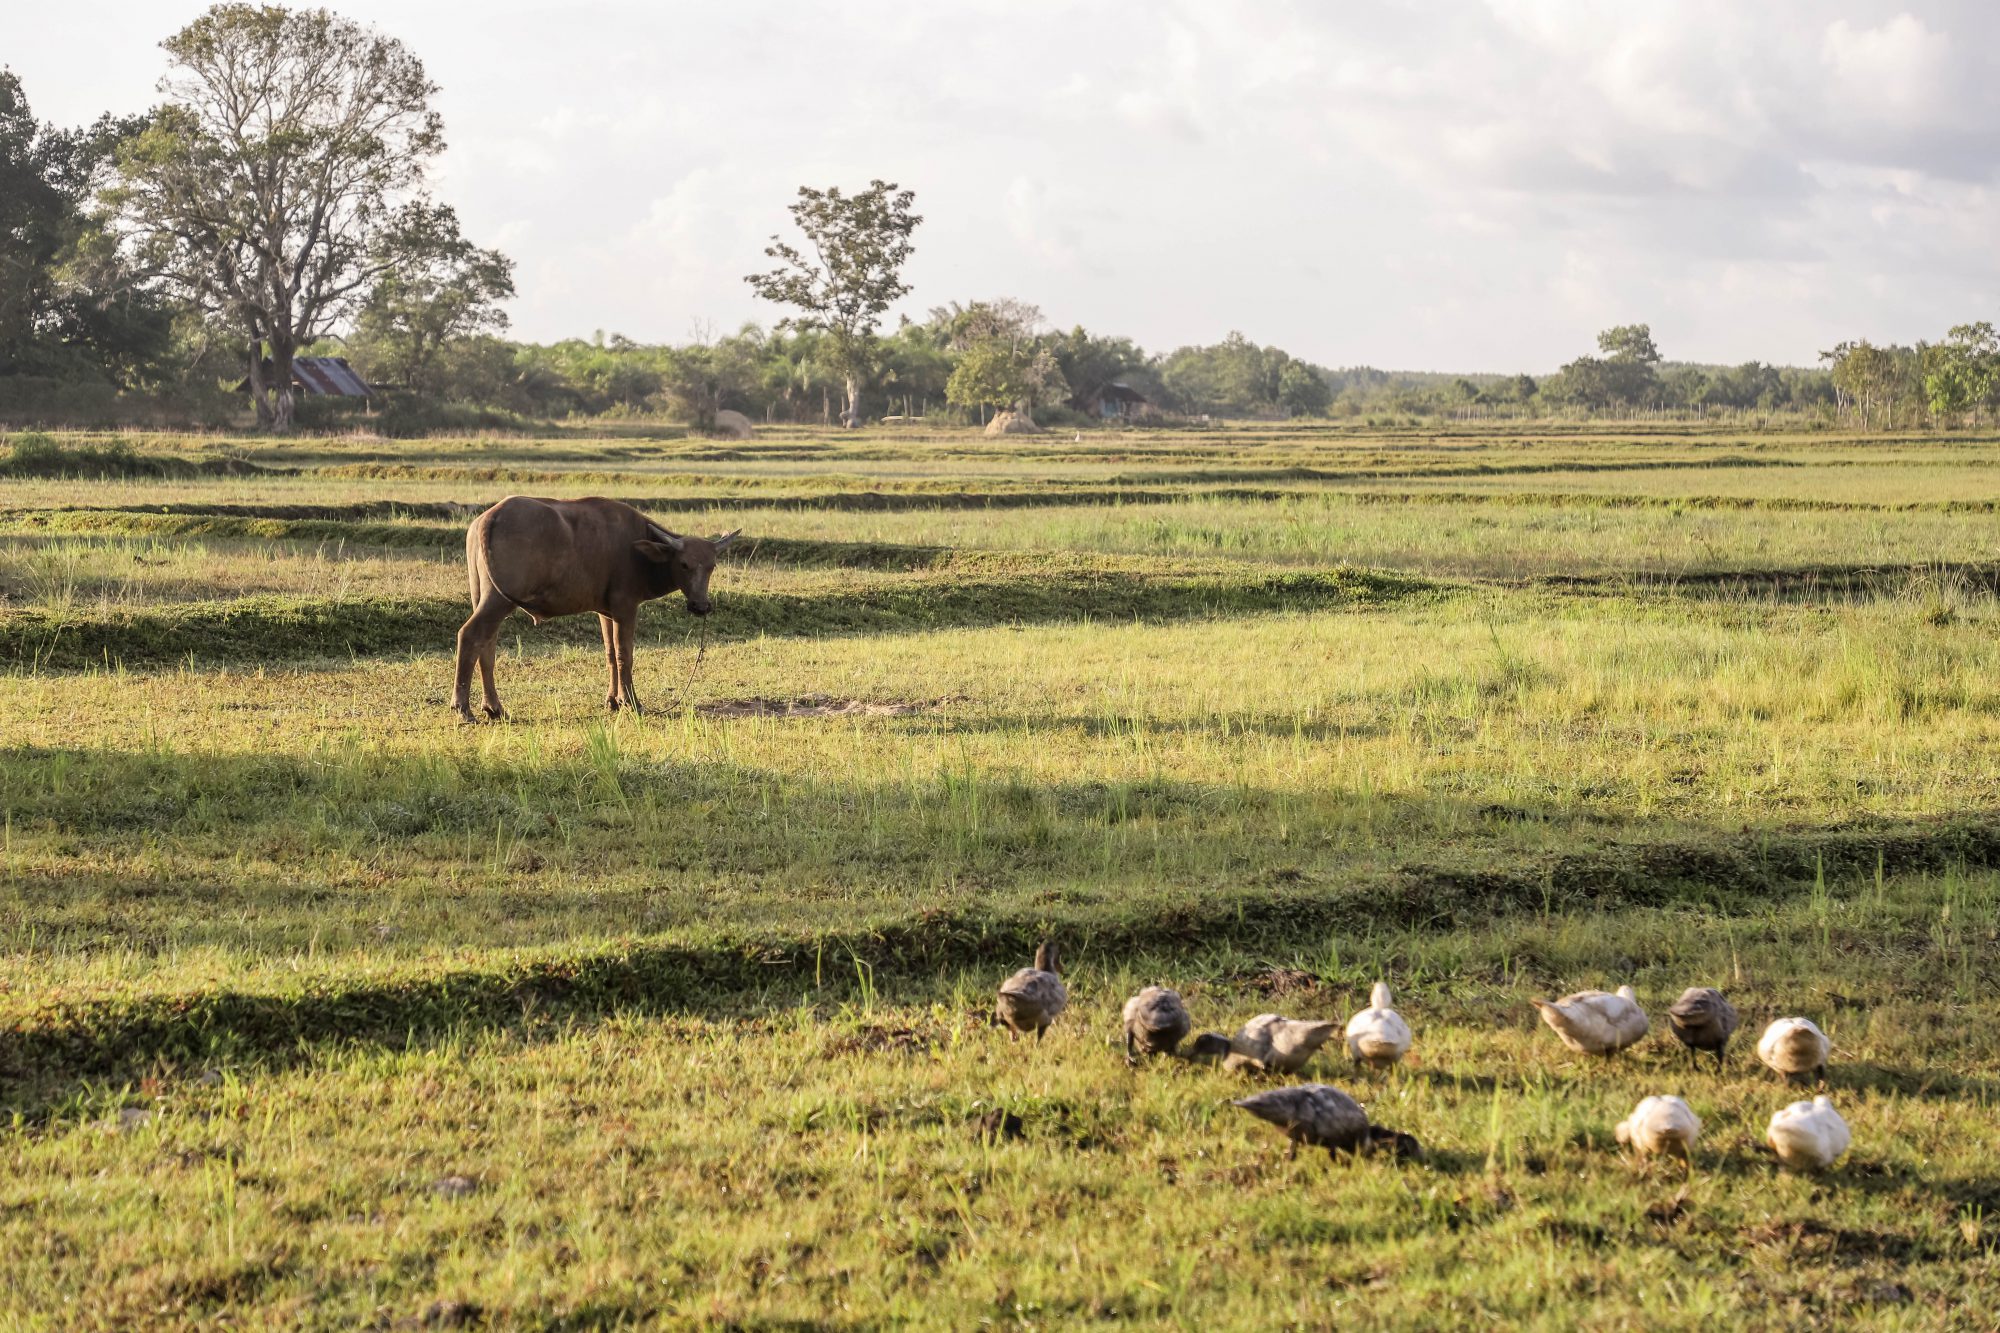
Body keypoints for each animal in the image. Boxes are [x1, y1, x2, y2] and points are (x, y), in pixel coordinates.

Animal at [454, 492, 744, 716]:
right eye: (684, 564)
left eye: (711, 566)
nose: (700, 606)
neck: (639, 552)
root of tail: (488, 519)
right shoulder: (626, 607)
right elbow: (625, 654)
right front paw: (631, 702)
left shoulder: (606, 612)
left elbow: (609, 654)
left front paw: (612, 701)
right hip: (498, 600)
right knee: (469, 635)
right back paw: (463, 708)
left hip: (482, 596)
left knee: (487, 645)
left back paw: (493, 707)